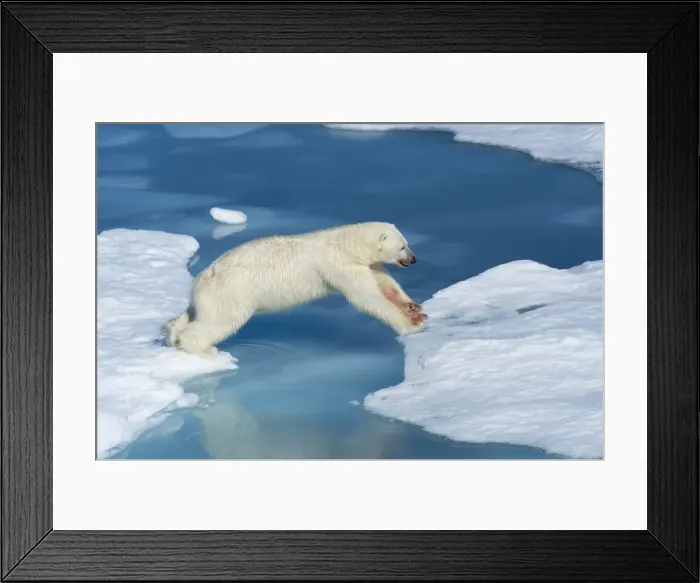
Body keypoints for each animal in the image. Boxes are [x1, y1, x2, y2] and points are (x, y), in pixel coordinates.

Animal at [166, 222, 426, 356]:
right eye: (403, 246)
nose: (414, 259)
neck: (347, 244)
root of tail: (205, 275)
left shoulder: (365, 263)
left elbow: (384, 282)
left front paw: (413, 308)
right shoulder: (339, 265)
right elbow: (368, 298)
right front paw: (411, 324)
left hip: (207, 295)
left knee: (193, 313)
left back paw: (173, 333)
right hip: (231, 292)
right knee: (220, 321)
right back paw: (203, 349)